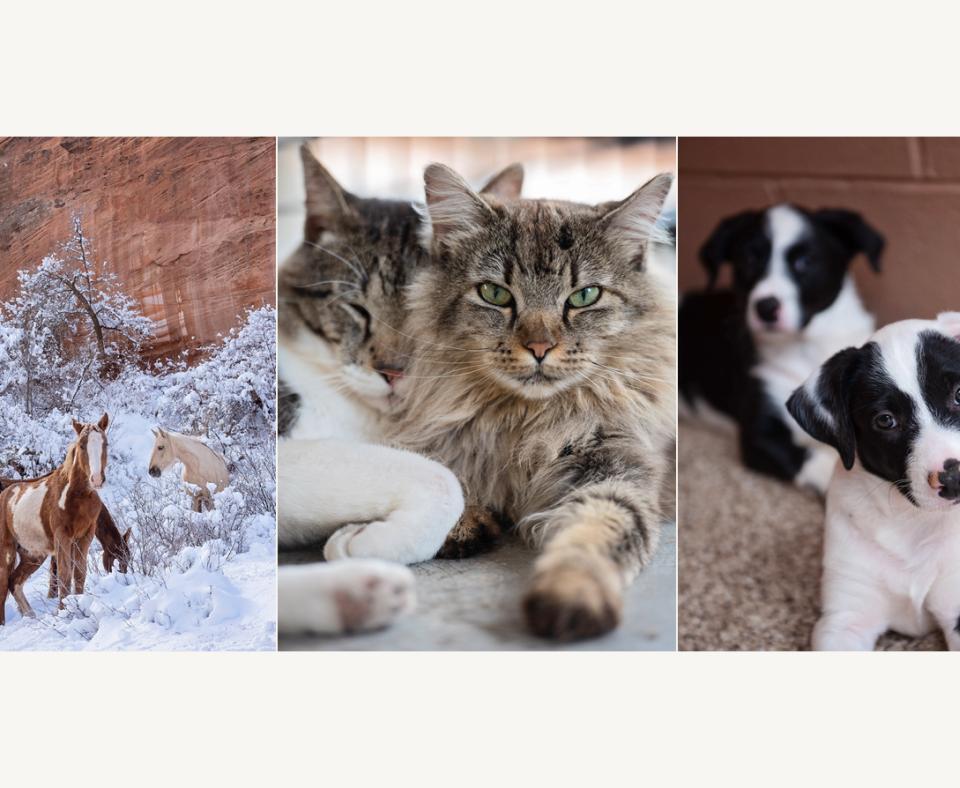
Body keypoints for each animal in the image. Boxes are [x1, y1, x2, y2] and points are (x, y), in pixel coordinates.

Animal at [0, 412, 109, 620]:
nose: (97, 479)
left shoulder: (84, 537)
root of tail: (5, 494)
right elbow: (64, 575)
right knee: (3, 584)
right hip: (7, 550)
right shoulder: (62, 537)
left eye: (105, 443)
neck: (77, 497)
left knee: (14, 582)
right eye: (82, 445)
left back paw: (30, 615)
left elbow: (79, 574)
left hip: (32, 554)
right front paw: (64, 611)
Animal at [390, 165, 676, 640]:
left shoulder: (615, 467)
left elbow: (597, 529)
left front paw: (570, 594)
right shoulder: (431, 432)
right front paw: (461, 522)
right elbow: (437, 471)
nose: (539, 348)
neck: (524, 420)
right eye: (495, 294)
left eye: (584, 297)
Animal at [680, 202, 880, 492]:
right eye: (748, 259)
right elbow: (815, 461)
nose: (766, 307)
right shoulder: (757, 436)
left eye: (804, 262)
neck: (805, 346)